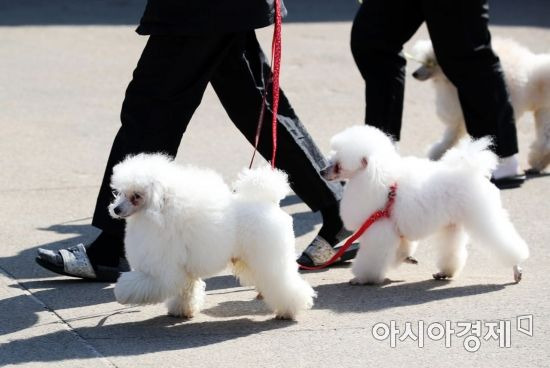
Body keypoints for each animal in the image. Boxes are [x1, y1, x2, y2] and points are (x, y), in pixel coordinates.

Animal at [109, 152, 314, 320]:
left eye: (136, 196)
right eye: (120, 192)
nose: (116, 209)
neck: (160, 211)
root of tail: (269, 202)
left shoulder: (163, 270)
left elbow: (139, 284)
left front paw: (121, 292)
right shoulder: (183, 269)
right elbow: (186, 289)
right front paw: (182, 310)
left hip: (269, 258)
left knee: (284, 284)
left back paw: (289, 311)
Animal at [324, 126, 532, 284]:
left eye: (338, 165)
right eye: (332, 160)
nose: (322, 171)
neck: (377, 178)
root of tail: (472, 171)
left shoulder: (379, 229)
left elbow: (372, 257)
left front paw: (363, 279)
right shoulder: (394, 229)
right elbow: (402, 248)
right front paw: (406, 258)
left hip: (482, 215)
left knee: (503, 241)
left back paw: (516, 268)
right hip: (453, 223)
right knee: (452, 248)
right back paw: (445, 272)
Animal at [414, 38, 550, 172]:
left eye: (430, 62)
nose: (414, 74)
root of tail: (535, 73)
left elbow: (451, 137)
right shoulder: (458, 119)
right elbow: (449, 138)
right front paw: (437, 154)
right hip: (543, 110)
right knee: (545, 140)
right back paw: (539, 163)